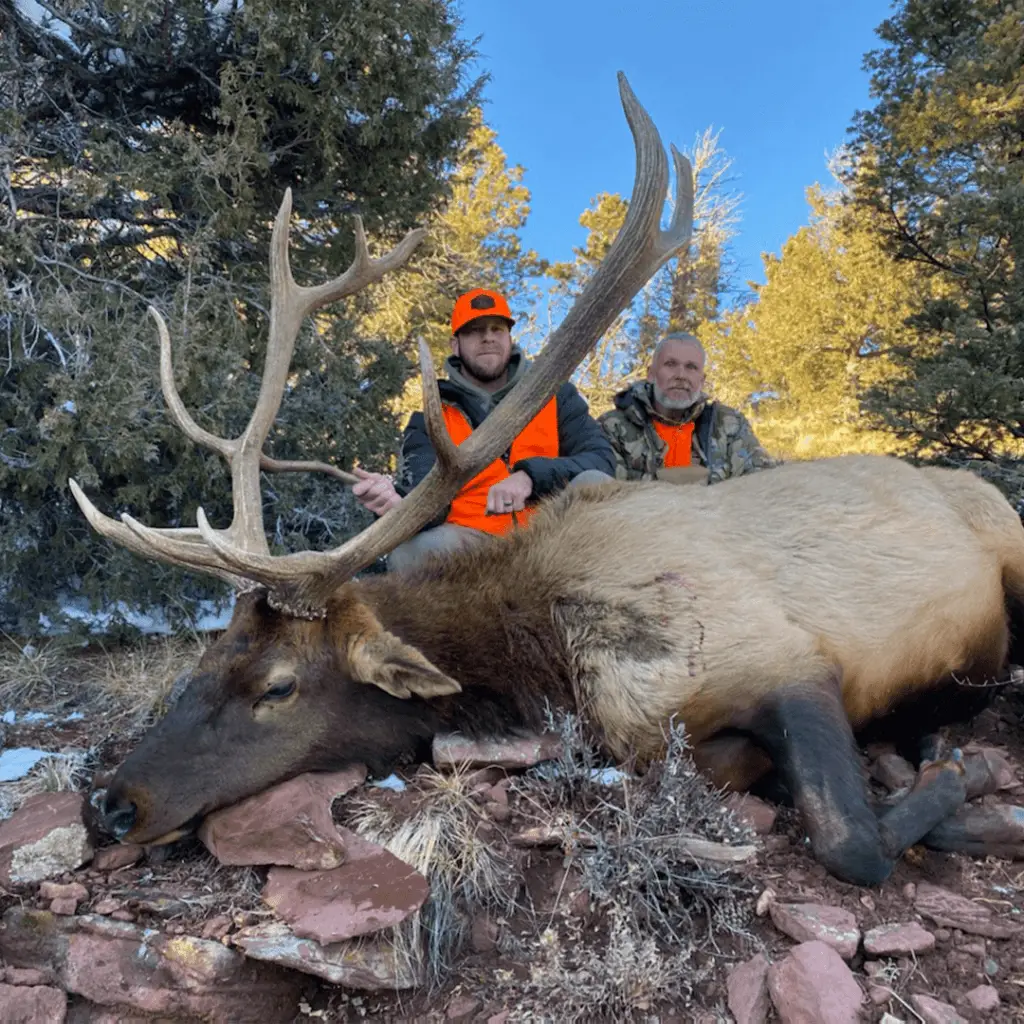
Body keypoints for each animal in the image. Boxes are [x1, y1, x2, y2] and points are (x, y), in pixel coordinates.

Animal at [70, 73, 1024, 887]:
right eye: (208, 655)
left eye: (278, 686)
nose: (108, 804)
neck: (549, 653)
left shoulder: (788, 659)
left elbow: (848, 841)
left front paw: (956, 779)